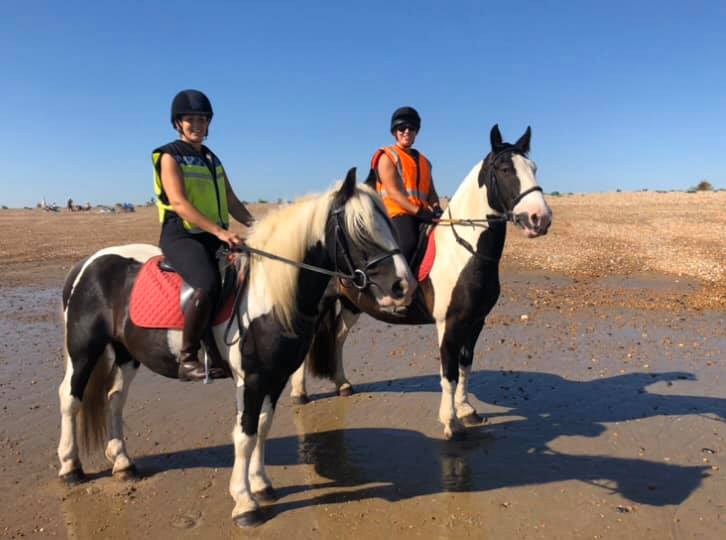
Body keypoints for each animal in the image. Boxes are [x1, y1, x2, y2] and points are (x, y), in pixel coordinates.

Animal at [57, 170, 416, 528]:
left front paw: (261, 485)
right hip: (83, 349)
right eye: (360, 229)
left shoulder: (276, 377)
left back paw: (122, 462)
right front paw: (244, 503)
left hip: (127, 353)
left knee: (115, 399)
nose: (404, 286)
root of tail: (86, 264)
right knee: (70, 398)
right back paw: (70, 467)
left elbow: (263, 427)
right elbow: (244, 435)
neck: (268, 294)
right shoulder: (251, 378)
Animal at [292, 126, 556, 438]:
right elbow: (449, 372)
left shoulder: (475, 321)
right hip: (321, 304)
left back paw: (342, 384)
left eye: (534, 168)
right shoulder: (449, 323)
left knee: (338, 339)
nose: (540, 218)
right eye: (505, 169)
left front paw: (467, 410)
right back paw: (299, 393)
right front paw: (450, 421)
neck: (466, 251)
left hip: (351, 305)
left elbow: (465, 366)